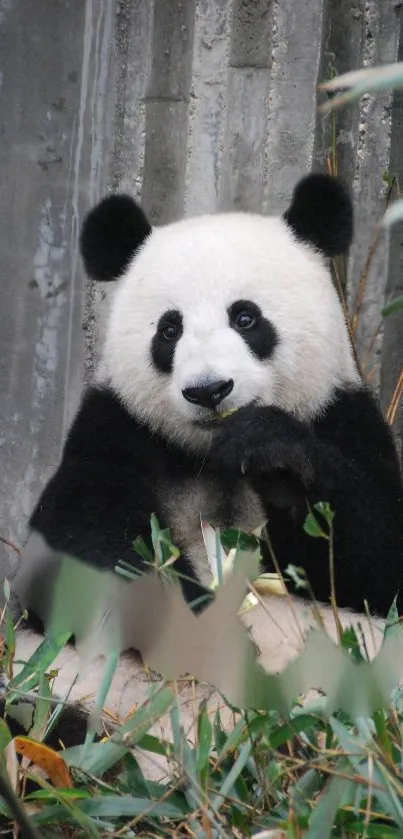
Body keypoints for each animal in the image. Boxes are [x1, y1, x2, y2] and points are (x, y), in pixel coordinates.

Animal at [3, 174, 403, 752]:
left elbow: (377, 561)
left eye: (246, 317)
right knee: (39, 723)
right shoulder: (114, 432)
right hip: (54, 687)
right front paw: (195, 617)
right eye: (169, 330)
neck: (209, 455)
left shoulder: (342, 416)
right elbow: (77, 554)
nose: (209, 390)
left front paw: (272, 453)